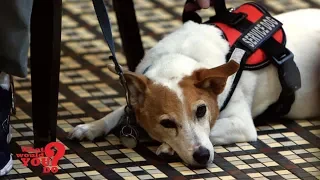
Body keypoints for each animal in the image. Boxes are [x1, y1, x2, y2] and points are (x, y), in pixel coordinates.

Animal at [70, 8, 320, 166]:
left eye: (201, 110)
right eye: (167, 123)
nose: (202, 156)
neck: (180, 57)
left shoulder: (241, 124)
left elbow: (211, 130)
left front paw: (168, 147)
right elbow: (120, 111)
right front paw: (92, 126)